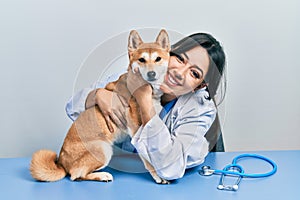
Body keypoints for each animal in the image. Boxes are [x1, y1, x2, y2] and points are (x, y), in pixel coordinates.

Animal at [31, 29, 171, 184]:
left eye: (158, 59)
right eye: (141, 60)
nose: (151, 74)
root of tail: (62, 163)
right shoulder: (136, 129)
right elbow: (147, 159)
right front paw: (157, 175)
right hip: (103, 149)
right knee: (75, 175)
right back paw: (102, 175)